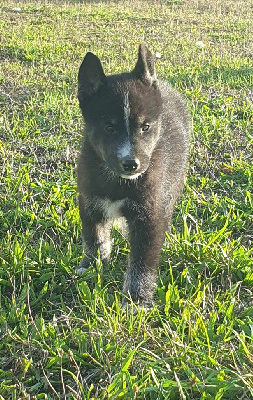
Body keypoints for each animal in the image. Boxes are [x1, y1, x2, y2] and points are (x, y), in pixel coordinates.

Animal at [76, 44, 190, 306]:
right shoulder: (89, 202)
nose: (132, 164)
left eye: (145, 127)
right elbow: (94, 238)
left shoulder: (149, 215)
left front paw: (136, 300)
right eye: (109, 128)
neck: (118, 182)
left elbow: (142, 262)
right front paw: (92, 267)